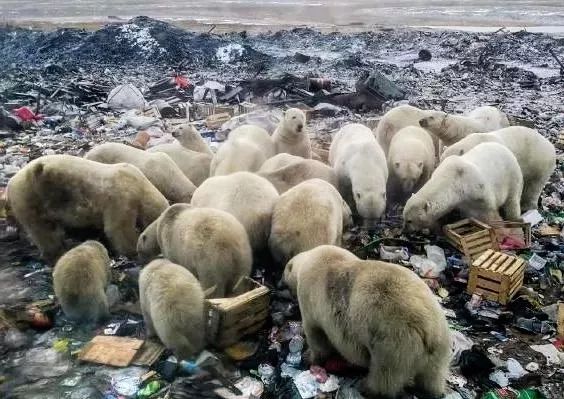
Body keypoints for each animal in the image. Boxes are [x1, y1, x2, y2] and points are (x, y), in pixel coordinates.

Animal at [7, 155, 167, 260]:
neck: (140, 185)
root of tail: (11, 182)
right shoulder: (121, 197)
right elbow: (118, 228)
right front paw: (132, 249)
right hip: (31, 196)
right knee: (43, 230)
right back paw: (56, 251)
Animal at [284, 245, 452, 398]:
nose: (280, 284)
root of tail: (428, 331)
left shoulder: (310, 297)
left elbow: (316, 334)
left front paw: (308, 357)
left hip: (394, 341)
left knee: (385, 373)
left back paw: (367, 387)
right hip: (439, 346)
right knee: (433, 374)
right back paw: (434, 391)